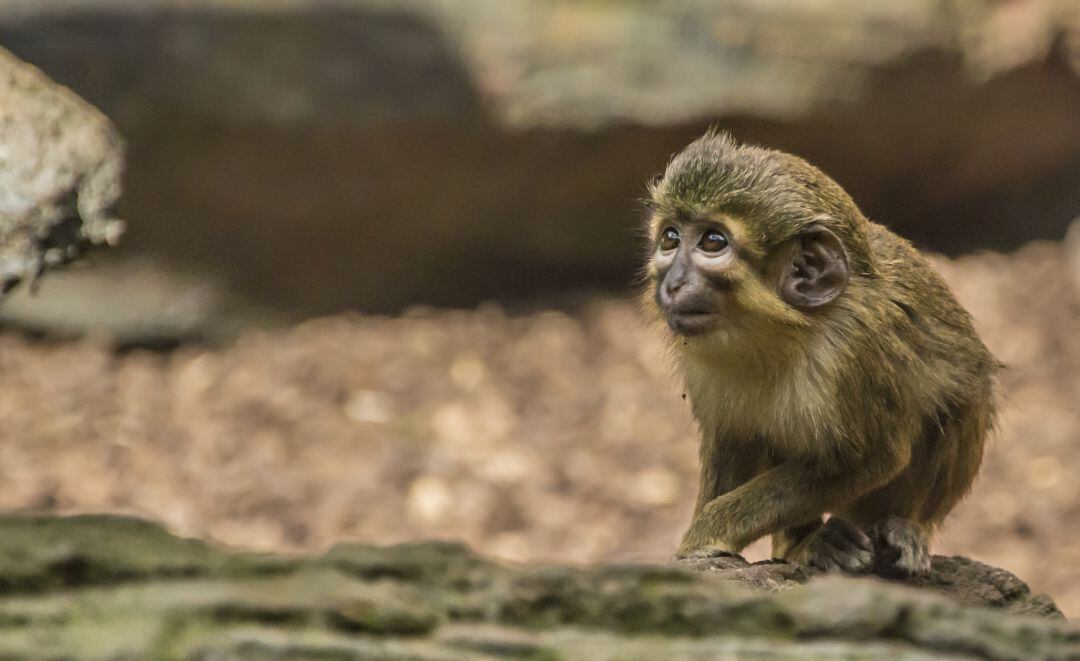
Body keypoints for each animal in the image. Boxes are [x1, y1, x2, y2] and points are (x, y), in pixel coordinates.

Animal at [639, 131, 993, 574]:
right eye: (670, 239)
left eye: (712, 242)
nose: (672, 284)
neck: (781, 333)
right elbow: (734, 440)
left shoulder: (854, 352)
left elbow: (870, 458)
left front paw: (703, 537)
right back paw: (808, 544)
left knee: (960, 400)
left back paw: (906, 528)